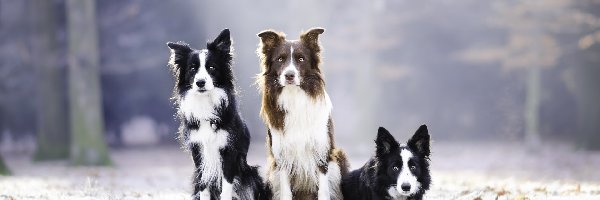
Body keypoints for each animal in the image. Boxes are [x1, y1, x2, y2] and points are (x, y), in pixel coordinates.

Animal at [166, 28, 264, 199]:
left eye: (211, 68)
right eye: (192, 69)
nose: (200, 83)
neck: (205, 103)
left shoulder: (228, 151)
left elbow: (226, 187)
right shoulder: (199, 152)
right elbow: (204, 186)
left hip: (251, 174)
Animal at [255, 28, 350, 200]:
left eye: (301, 59)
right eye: (280, 59)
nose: (289, 75)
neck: (294, 96)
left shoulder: (322, 152)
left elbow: (323, 191)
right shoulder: (282, 156)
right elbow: (285, 192)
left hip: (339, 157)